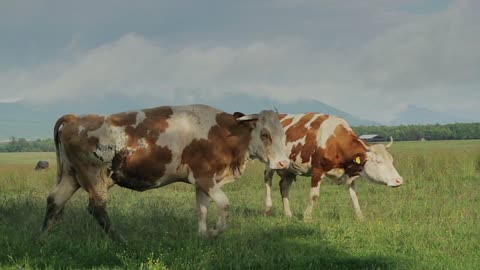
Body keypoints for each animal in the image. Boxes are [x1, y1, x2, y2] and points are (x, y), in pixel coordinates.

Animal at [41, 104, 288, 242]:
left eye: (283, 133)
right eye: (265, 134)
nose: (284, 162)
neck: (222, 132)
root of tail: (76, 118)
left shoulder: (202, 182)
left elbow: (202, 210)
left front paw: (203, 235)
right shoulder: (204, 178)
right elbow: (224, 205)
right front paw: (215, 232)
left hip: (71, 176)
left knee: (54, 201)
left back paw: (43, 239)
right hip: (94, 177)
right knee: (97, 208)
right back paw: (122, 241)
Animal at [264, 113, 404, 221]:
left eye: (391, 160)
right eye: (378, 161)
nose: (399, 180)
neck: (334, 142)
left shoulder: (350, 174)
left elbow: (354, 196)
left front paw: (360, 218)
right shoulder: (317, 170)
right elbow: (314, 196)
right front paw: (307, 217)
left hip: (289, 168)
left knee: (284, 186)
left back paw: (288, 214)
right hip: (270, 162)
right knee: (267, 180)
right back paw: (268, 209)